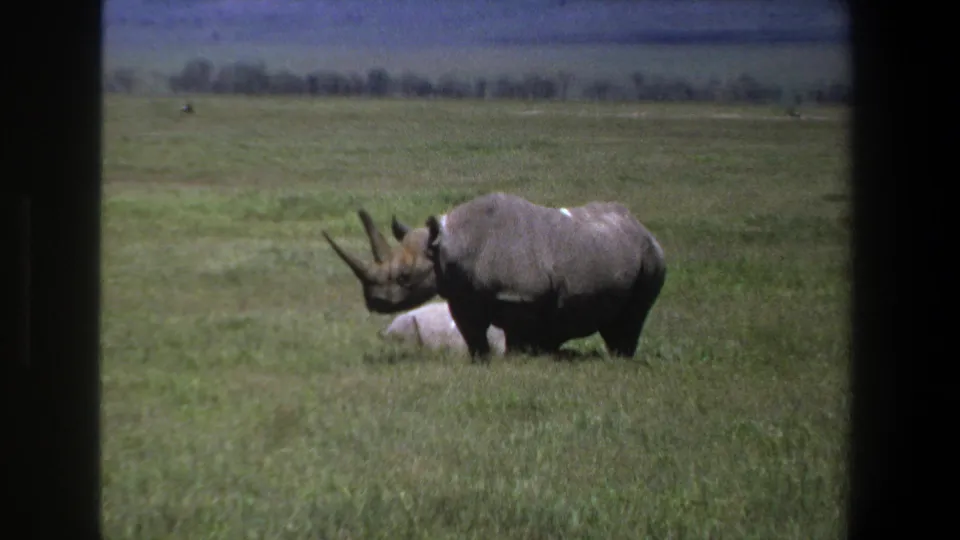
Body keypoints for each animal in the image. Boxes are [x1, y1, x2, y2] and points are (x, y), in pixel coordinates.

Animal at [322, 192, 666, 362]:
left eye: (405, 277)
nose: (374, 301)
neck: (449, 244)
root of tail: (642, 228)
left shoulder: (522, 295)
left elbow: (520, 334)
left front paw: (521, 360)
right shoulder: (461, 294)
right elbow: (472, 333)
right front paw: (480, 361)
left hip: (650, 260)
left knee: (633, 317)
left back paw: (620, 358)